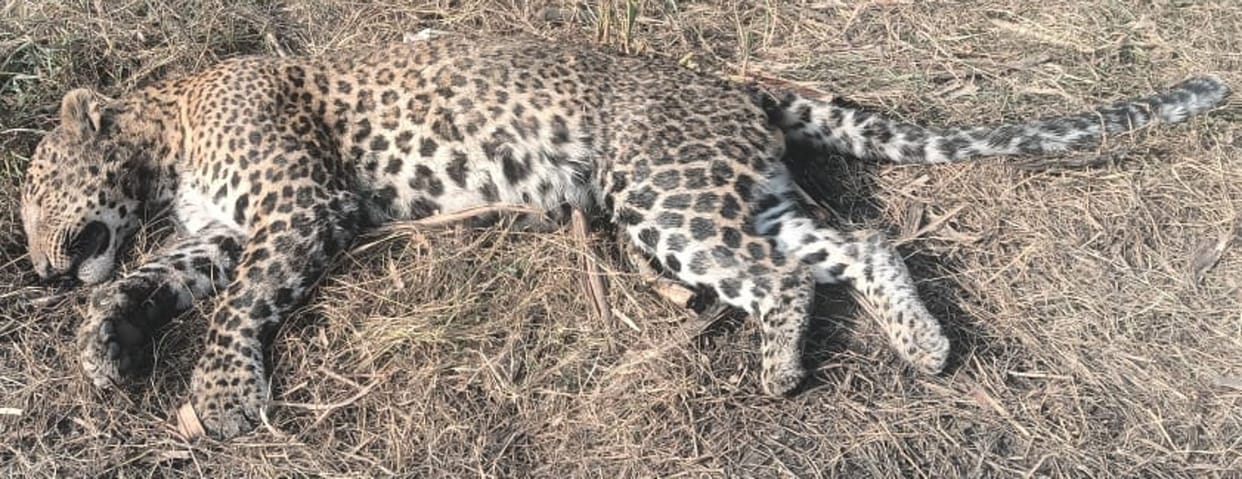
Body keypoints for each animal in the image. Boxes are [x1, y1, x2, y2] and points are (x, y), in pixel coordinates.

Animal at [20, 34, 1229, 439]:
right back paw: (922, 344)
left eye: (31, 192)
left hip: (661, 193)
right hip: (738, 195)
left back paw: (780, 364)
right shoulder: (220, 233)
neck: (167, 135)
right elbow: (142, 280)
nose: (31, 265)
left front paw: (223, 397)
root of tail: (734, 84)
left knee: (781, 278)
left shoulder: (295, 206)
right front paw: (102, 344)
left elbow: (234, 307)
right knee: (856, 245)